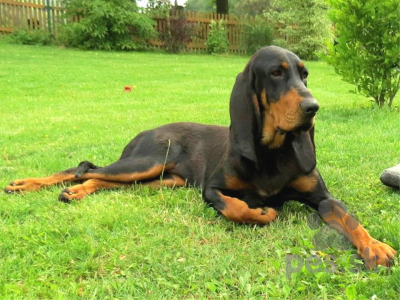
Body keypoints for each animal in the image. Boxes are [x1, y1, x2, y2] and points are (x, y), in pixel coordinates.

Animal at [4, 46, 396, 268]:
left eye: (305, 74)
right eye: (276, 73)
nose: (313, 108)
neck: (272, 151)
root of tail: (143, 132)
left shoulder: (323, 197)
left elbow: (348, 219)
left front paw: (375, 247)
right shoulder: (212, 188)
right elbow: (236, 208)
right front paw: (261, 212)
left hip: (162, 181)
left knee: (99, 178)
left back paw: (74, 192)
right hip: (147, 161)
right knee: (84, 168)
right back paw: (27, 184)